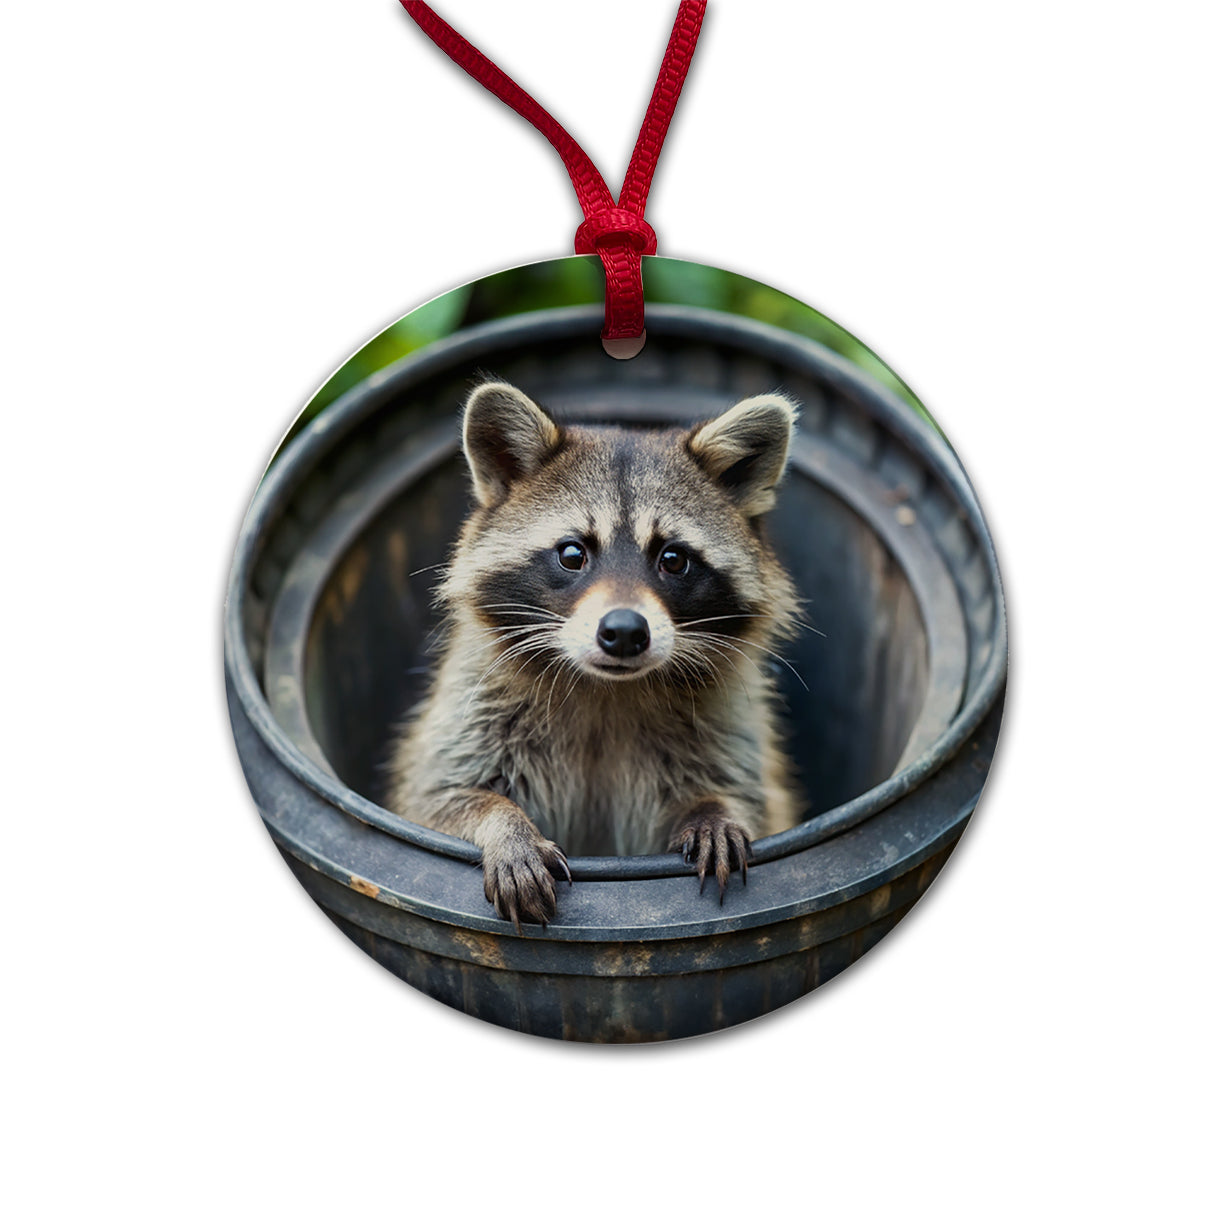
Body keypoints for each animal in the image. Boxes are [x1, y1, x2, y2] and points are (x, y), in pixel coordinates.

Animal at [386, 380, 803, 930]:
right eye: (572, 554)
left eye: (673, 559)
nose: (624, 632)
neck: (607, 688)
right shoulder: (472, 708)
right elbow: (436, 799)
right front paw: (503, 824)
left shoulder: (726, 727)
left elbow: (747, 797)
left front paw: (715, 810)